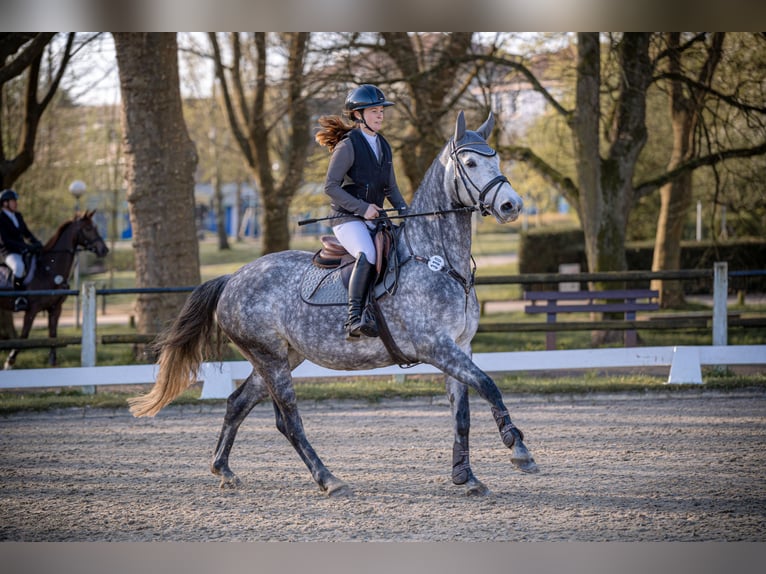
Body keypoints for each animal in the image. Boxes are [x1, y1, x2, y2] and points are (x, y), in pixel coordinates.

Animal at [1, 211, 109, 369]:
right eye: (88, 228)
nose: (104, 250)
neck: (49, 269)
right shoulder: (32, 310)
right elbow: (24, 336)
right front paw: (9, 361)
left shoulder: (55, 308)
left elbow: (53, 336)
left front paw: (53, 363)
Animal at [129, 111, 538, 497]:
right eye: (470, 163)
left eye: (496, 158)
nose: (512, 205)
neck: (437, 259)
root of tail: (233, 278)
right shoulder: (436, 347)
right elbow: (488, 385)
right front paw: (519, 451)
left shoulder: (459, 347)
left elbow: (462, 415)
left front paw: (465, 477)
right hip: (270, 358)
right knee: (288, 420)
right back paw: (329, 479)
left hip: (280, 357)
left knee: (237, 403)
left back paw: (224, 470)